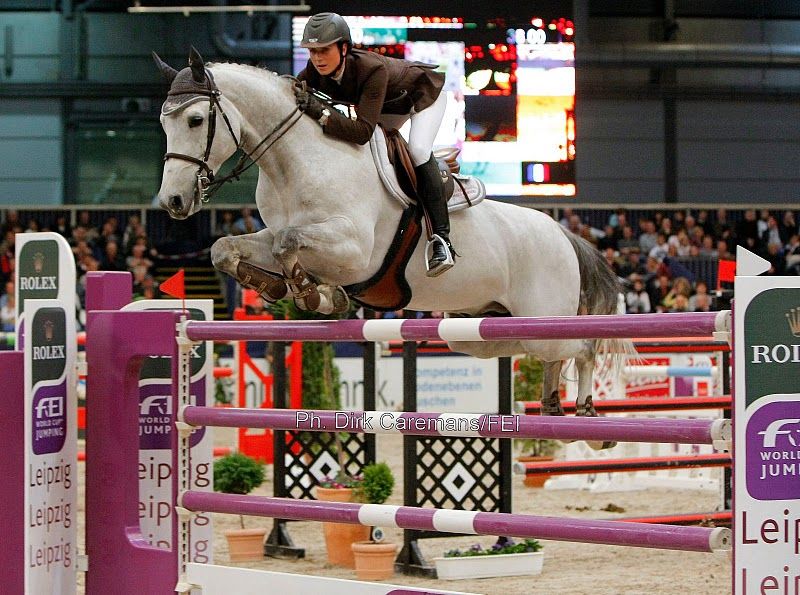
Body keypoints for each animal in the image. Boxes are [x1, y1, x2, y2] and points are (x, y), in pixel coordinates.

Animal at [155, 49, 632, 430]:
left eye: (196, 120)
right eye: (164, 122)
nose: (173, 201)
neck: (296, 164)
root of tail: (563, 234)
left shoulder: (354, 251)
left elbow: (286, 244)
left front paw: (314, 294)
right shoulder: (282, 232)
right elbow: (228, 248)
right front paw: (280, 287)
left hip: (543, 317)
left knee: (582, 347)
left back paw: (588, 412)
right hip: (480, 329)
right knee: (544, 354)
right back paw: (553, 406)